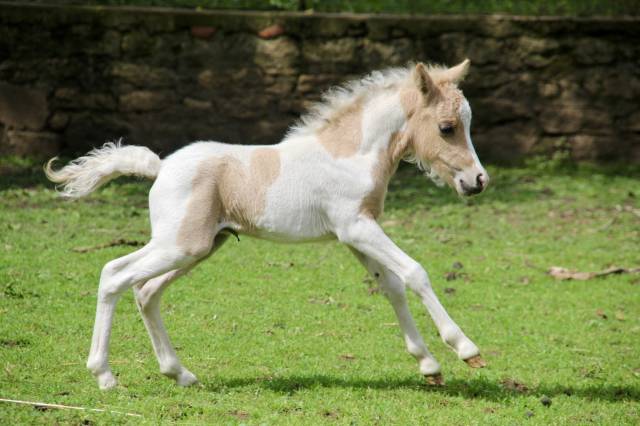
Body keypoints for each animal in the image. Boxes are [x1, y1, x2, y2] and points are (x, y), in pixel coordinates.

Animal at [47, 59, 490, 390]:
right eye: (447, 127)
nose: (478, 181)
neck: (349, 154)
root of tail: (161, 166)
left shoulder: (355, 234)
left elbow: (392, 286)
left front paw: (429, 365)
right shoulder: (356, 227)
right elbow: (415, 273)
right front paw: (466, 349)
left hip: (201, 247)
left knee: (146, 291)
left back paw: (180, 373)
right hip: (179, 244)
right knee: (114, 275)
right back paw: (105, 376)